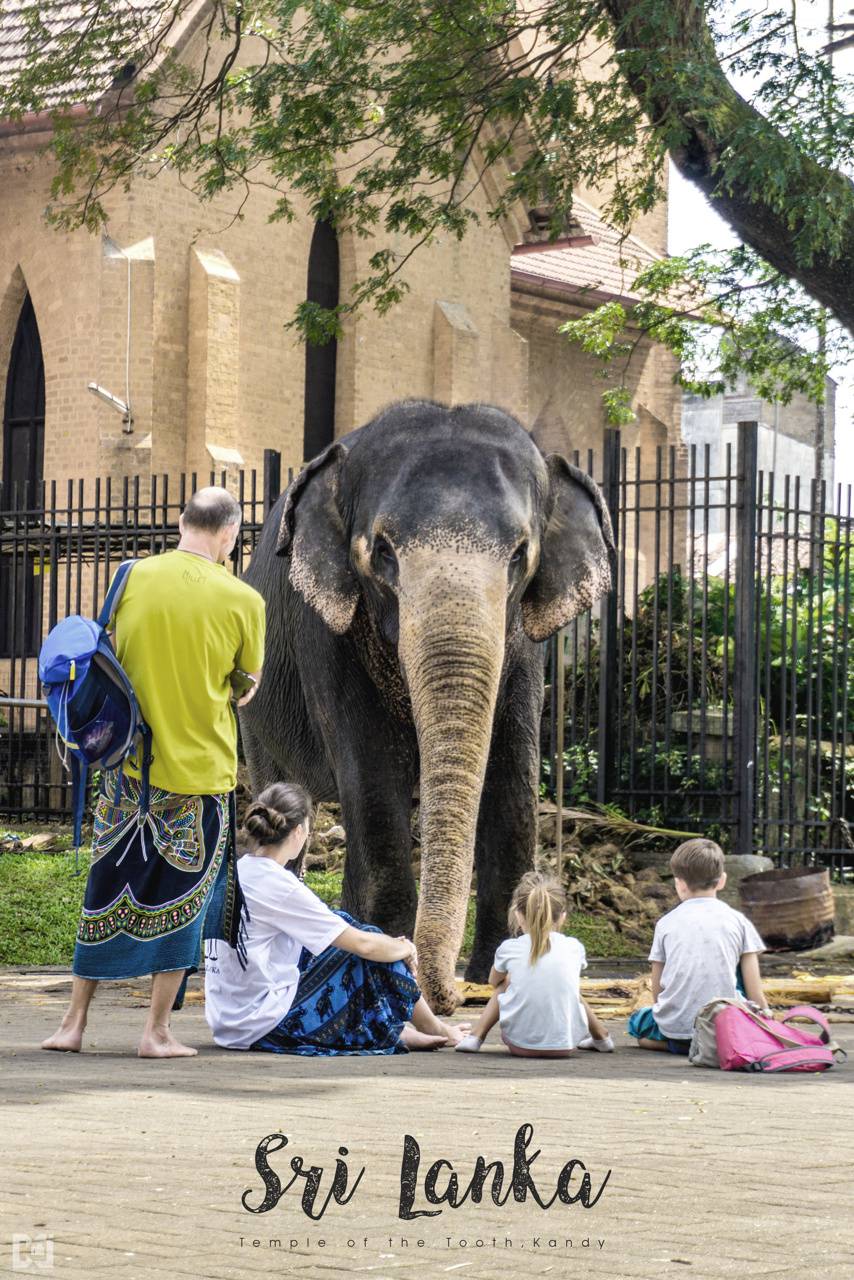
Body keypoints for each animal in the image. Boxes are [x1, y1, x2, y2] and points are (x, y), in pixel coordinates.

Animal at [240, 400, 614, 1014]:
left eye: (520, 554)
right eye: (382, 551)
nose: (452, 996)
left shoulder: (522, 647)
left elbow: (513, 773)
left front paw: (498, 973)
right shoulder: (326, 633)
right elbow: (372, 773)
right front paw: (390, 959)